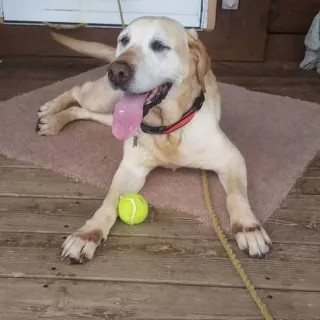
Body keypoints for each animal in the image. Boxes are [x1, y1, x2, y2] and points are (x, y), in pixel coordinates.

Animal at [38, 16, 272, 264]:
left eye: (159, 45)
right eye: (124, 40)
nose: (117, 71)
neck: (168, 129)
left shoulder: (232, 159)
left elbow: (236, 195)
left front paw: (248, 228)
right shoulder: (131, 169)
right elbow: (110, 200)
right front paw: (87, 234)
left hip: (110, 113)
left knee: (82, 108)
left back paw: (54, 119)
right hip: (102, 99)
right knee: (76, 90)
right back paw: (52, 110)